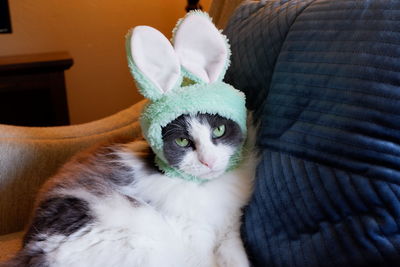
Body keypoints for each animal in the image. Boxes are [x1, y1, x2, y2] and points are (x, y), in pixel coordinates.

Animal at [3, 112, 258, 266]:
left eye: (219, 131)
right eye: (183, 142)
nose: (208, 161)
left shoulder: (229, 230)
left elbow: (237, 259)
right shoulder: (195, 237)